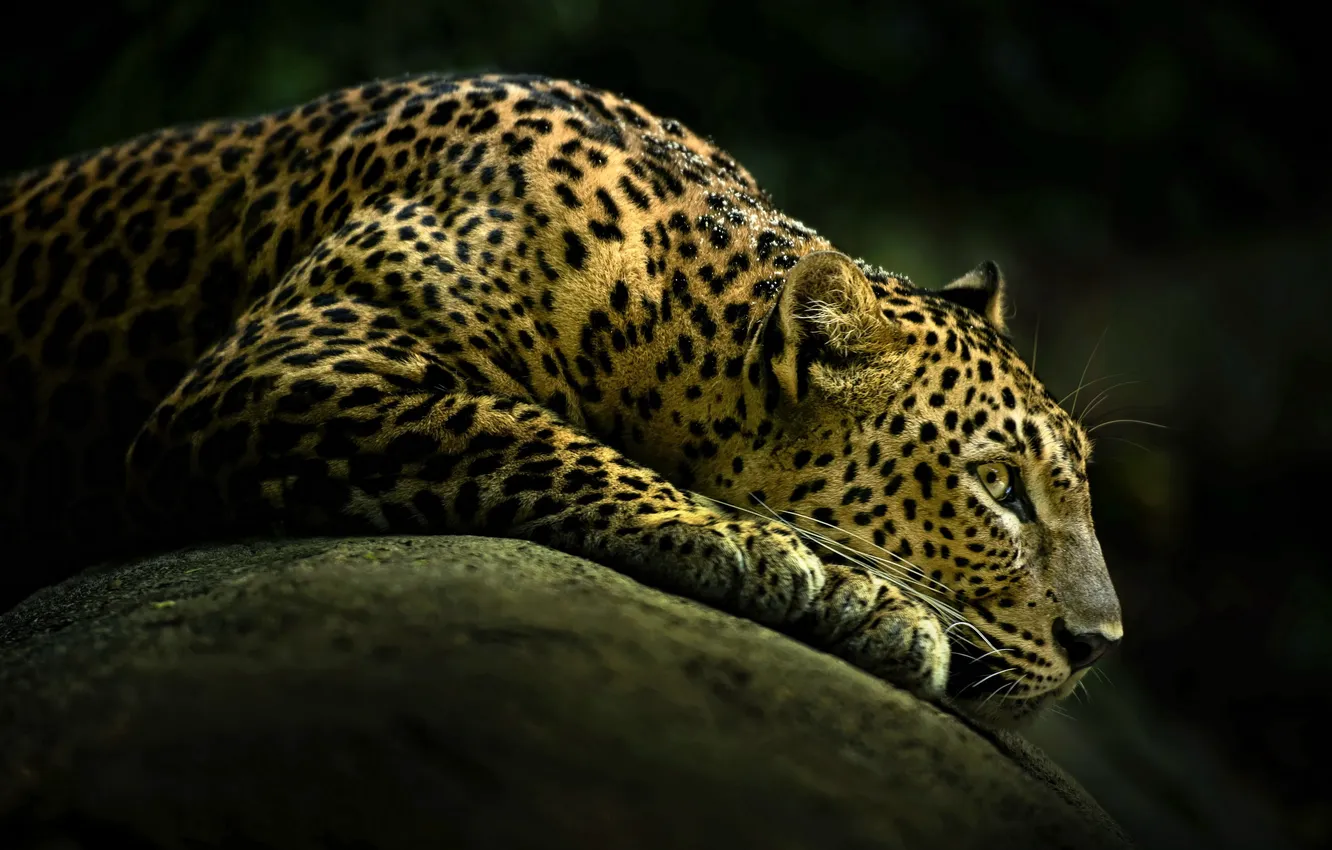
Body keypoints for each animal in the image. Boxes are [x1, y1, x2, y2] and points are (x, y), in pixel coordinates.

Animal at [0, 73, 1122, 728]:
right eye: (998, 488)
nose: (1100, 647)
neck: (658, 308)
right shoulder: (293, 361)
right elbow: (516, 428)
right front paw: (777, 557)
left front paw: (861, 597)